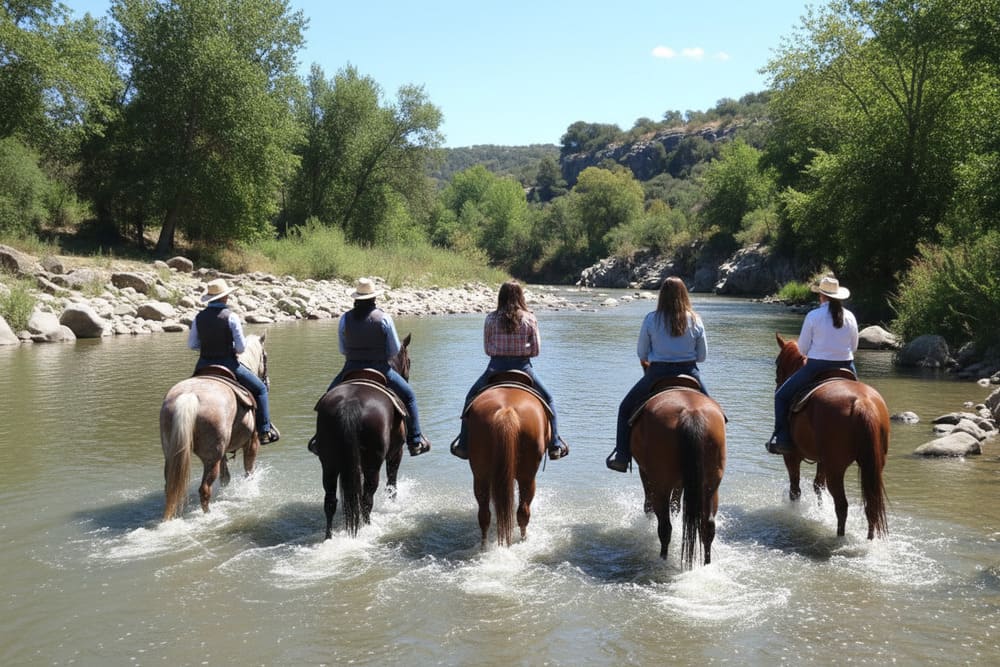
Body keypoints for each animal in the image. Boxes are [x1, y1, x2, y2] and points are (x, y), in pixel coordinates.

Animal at [159, 333, 269, 521]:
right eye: (266, 357)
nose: (267, 381)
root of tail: (189, 396)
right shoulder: (252, 441)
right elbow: (248, 470)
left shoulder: (224, 452)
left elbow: (226, 478)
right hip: (211, 459)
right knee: (204, 489)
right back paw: (208, 515)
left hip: (172, 455)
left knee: (170, 488)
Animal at [313, 334, 412, 539]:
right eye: (409, 361)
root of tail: (350, 403)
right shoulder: (396, 453)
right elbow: (391, 485)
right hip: (373, 462)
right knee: (367, 497)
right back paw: (366, 528)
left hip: (329, 462)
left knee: (330, 500)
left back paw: (329, 536)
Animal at [465, 373, 549, 548]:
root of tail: (506, 411)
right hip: (528, 477)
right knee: (523, 511)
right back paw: (522, 540)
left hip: (480, 474)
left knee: (484, 513)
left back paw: (484, 545)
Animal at [630, 378, 727, 566]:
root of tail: (691, 413)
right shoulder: (682, 481)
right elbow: (676, 505)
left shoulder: (645, 473)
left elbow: (649, 506)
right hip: (711, 486)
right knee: (708, 526)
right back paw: (706, 563)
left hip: (660, 484)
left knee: (664, 526)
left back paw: (663, 559)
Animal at [773, 333, 890, 539]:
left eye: (777, 363)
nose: (777, 382)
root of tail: (863, 404)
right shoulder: (822, 461)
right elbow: (817, 486)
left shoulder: (791, 456)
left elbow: (795, 490)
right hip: (872, 466)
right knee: (871, 505)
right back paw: (869, 540)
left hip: (836, 468)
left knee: (842, 505)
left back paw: (839, 536)